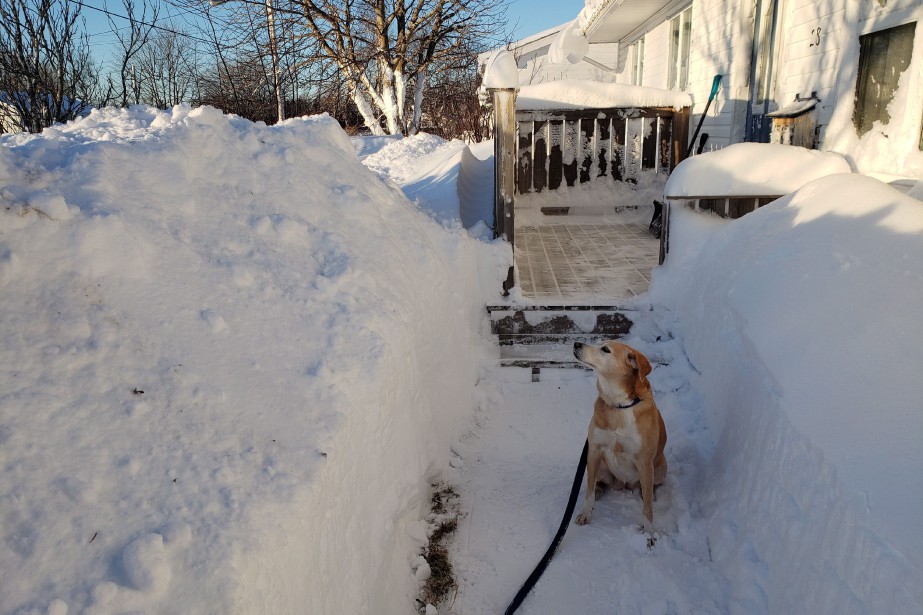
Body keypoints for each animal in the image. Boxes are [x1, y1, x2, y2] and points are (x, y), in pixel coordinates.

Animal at [572, 340, 668, 528]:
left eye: (605, 349)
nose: (576, 343)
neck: (618, 405)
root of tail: (623, 485)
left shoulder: (645, 461)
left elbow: (647, 506)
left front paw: (650, 531)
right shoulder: (594, 450)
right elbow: (589, 489)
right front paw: (586, 512)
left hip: (660, 468)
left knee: (648, 488)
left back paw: (648, 493)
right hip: (600, 465)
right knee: (598, 482)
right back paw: (600, 489)